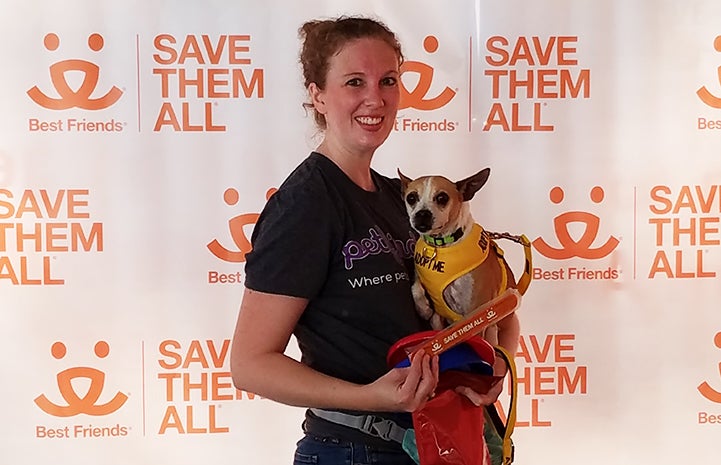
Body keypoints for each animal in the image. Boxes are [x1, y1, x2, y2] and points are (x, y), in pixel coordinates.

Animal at [396, 167, 532, 334]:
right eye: (411, 198)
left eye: (442, 197)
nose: (422, 213)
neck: (440, 244)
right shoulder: (437, 318)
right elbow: (415, 286)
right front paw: (423, 308)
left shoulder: (475, 311)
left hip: (493, 328)